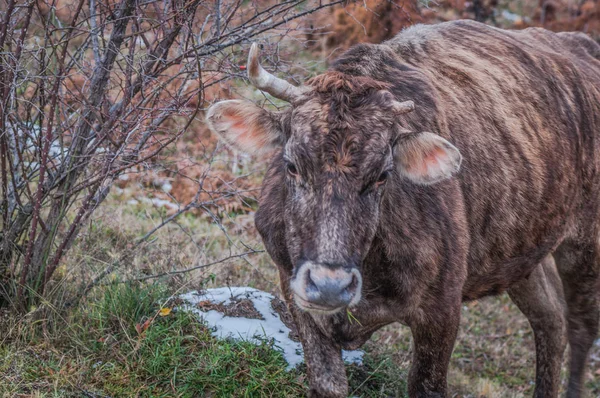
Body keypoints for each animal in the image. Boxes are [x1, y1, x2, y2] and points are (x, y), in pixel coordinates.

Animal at [205, 19, 600, 398]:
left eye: (382, 174)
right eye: (291, 165)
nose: (330, 287)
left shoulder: (441, 310)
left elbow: (427, 386)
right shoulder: (294, 290)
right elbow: (328, 382)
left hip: (585, 247)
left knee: (580, 329)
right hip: (521, 252)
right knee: (550, 318)